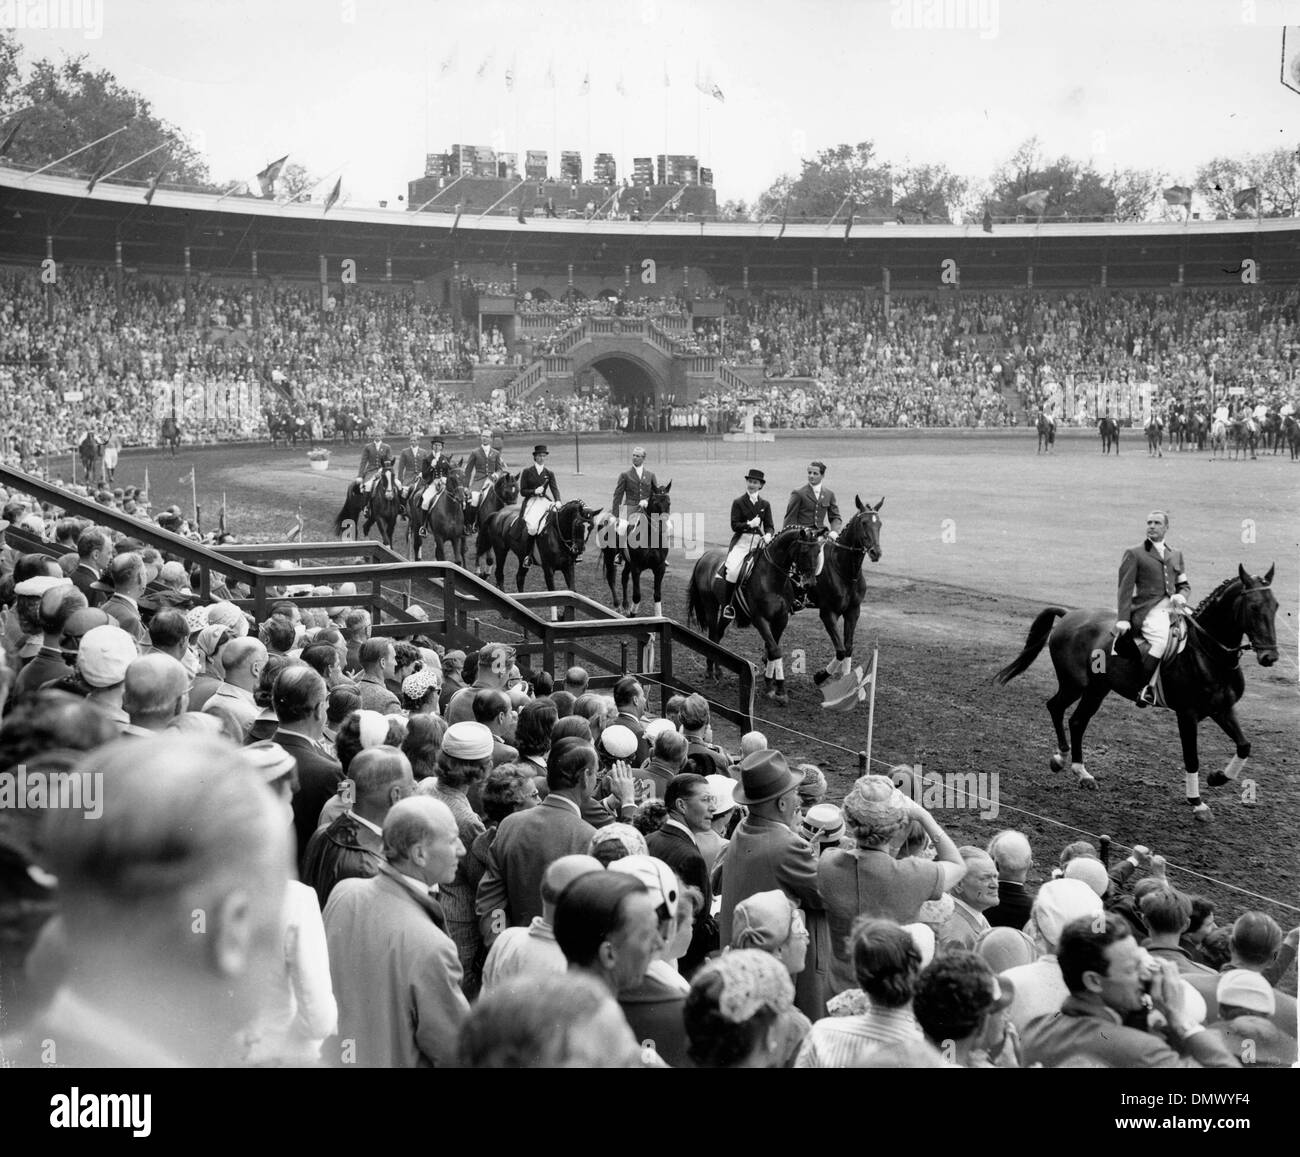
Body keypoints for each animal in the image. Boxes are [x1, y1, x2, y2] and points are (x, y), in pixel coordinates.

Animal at [598, 478, 676, 618]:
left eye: (668, 502)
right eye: (655, 502)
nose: (664, 527)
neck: (650, 538)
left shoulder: (659, 568)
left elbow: (657, 595)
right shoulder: (637, 568)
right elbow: (637, 595)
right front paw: (632, 613)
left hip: (628, 562)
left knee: (624, 578)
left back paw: (625, 605)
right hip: (609, 557)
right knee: (611, 578)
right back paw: (618, 606)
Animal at [691, 522, 821, 702]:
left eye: (819, 551)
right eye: (804, 552)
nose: (810, 584)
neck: (772, 578)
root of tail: (706, 555)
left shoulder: (781, 619)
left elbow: (772, 650)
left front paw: (772, 685)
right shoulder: (759, 619)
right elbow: (775, 650)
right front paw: (778, 689)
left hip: (726, 612)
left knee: (718, 634)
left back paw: (717, 671)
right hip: (710, 605)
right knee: (712, 636)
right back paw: (712, 672)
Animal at [806, 499, 889, 686]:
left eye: (879, 524)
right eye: (864, 523)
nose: (876, 553)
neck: (846, 571)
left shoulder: (853, 611)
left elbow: (848, 647)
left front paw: (845, 679)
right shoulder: (828, 613)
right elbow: (841, 650)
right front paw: (820, 676)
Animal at [993, 566, 1279, 821]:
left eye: (1275, 606)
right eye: (1254, 607)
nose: (1270, 657)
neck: (1208, 654)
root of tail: (1070, 615)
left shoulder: (1222, 709)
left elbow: (1244, 745)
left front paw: (1218, 777)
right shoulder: (1187, 715)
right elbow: (1192, 758)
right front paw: (1197, 803)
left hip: (1098, 689)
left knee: (1076, 721)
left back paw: (1082, 772)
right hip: (1075, 684)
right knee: (1055, 707)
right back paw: (1061, 758)